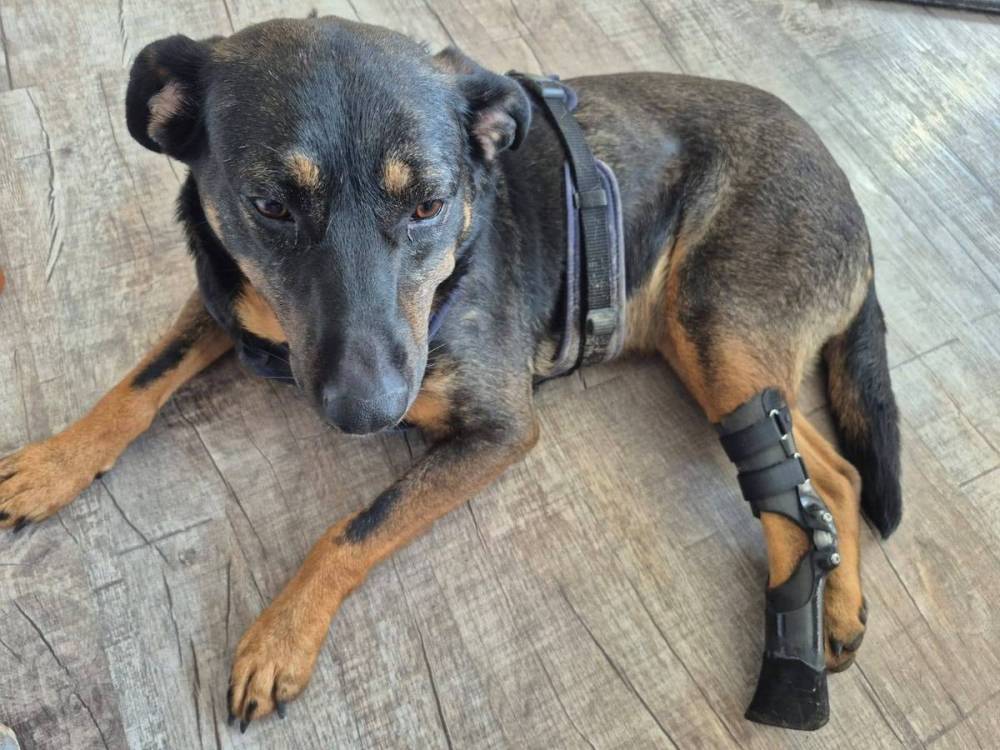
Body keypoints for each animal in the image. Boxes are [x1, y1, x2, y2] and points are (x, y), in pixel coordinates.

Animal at [0, 15, 901, 731]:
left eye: (429, 206)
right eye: (271, 207)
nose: (367, 411)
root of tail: (855, 202)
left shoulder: (500, 431)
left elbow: (355, 526)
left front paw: (281, 637)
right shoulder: (226, 300)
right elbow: (139, 382)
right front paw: (51, 464)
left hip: (715, 324)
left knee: (799, 483)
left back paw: (804, 644)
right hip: (711, 346)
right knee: (836, 472)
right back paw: (839, 607)